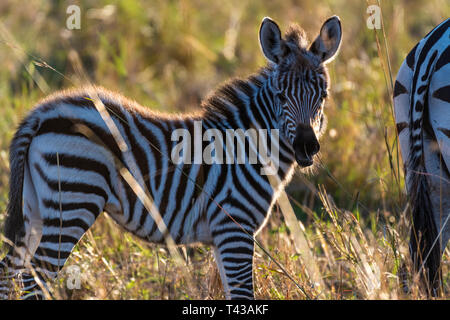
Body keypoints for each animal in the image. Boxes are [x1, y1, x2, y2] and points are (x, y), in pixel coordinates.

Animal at [0, 16, 342, 298]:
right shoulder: (234, 227)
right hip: (73, 200)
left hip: (35, 207)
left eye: (323, 96)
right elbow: (243, 294)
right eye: (281, 96)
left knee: (8, 272)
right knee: (33, 281)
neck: (248, 147)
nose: (306, 147)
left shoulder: (222, 236)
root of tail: (40, 114)